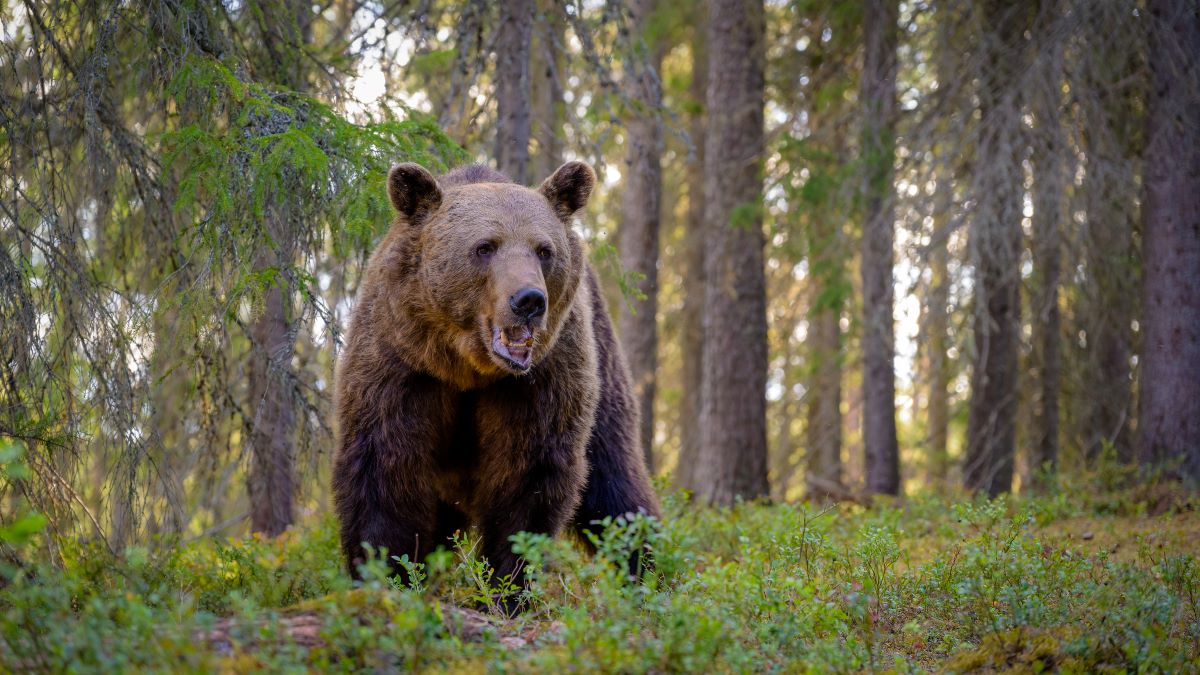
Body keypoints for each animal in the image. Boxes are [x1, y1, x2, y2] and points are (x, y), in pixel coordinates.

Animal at [333, 158, 662, 588]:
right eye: (484, 247)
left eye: (544, 250)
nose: (529, 300)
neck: (469, 368)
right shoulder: (401, 363)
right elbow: (385, 468)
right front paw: (384, 571)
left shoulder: (540, 379)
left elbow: (527, 476)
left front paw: (509, 583)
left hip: (604, 366)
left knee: (616, 486)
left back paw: (649, 572)